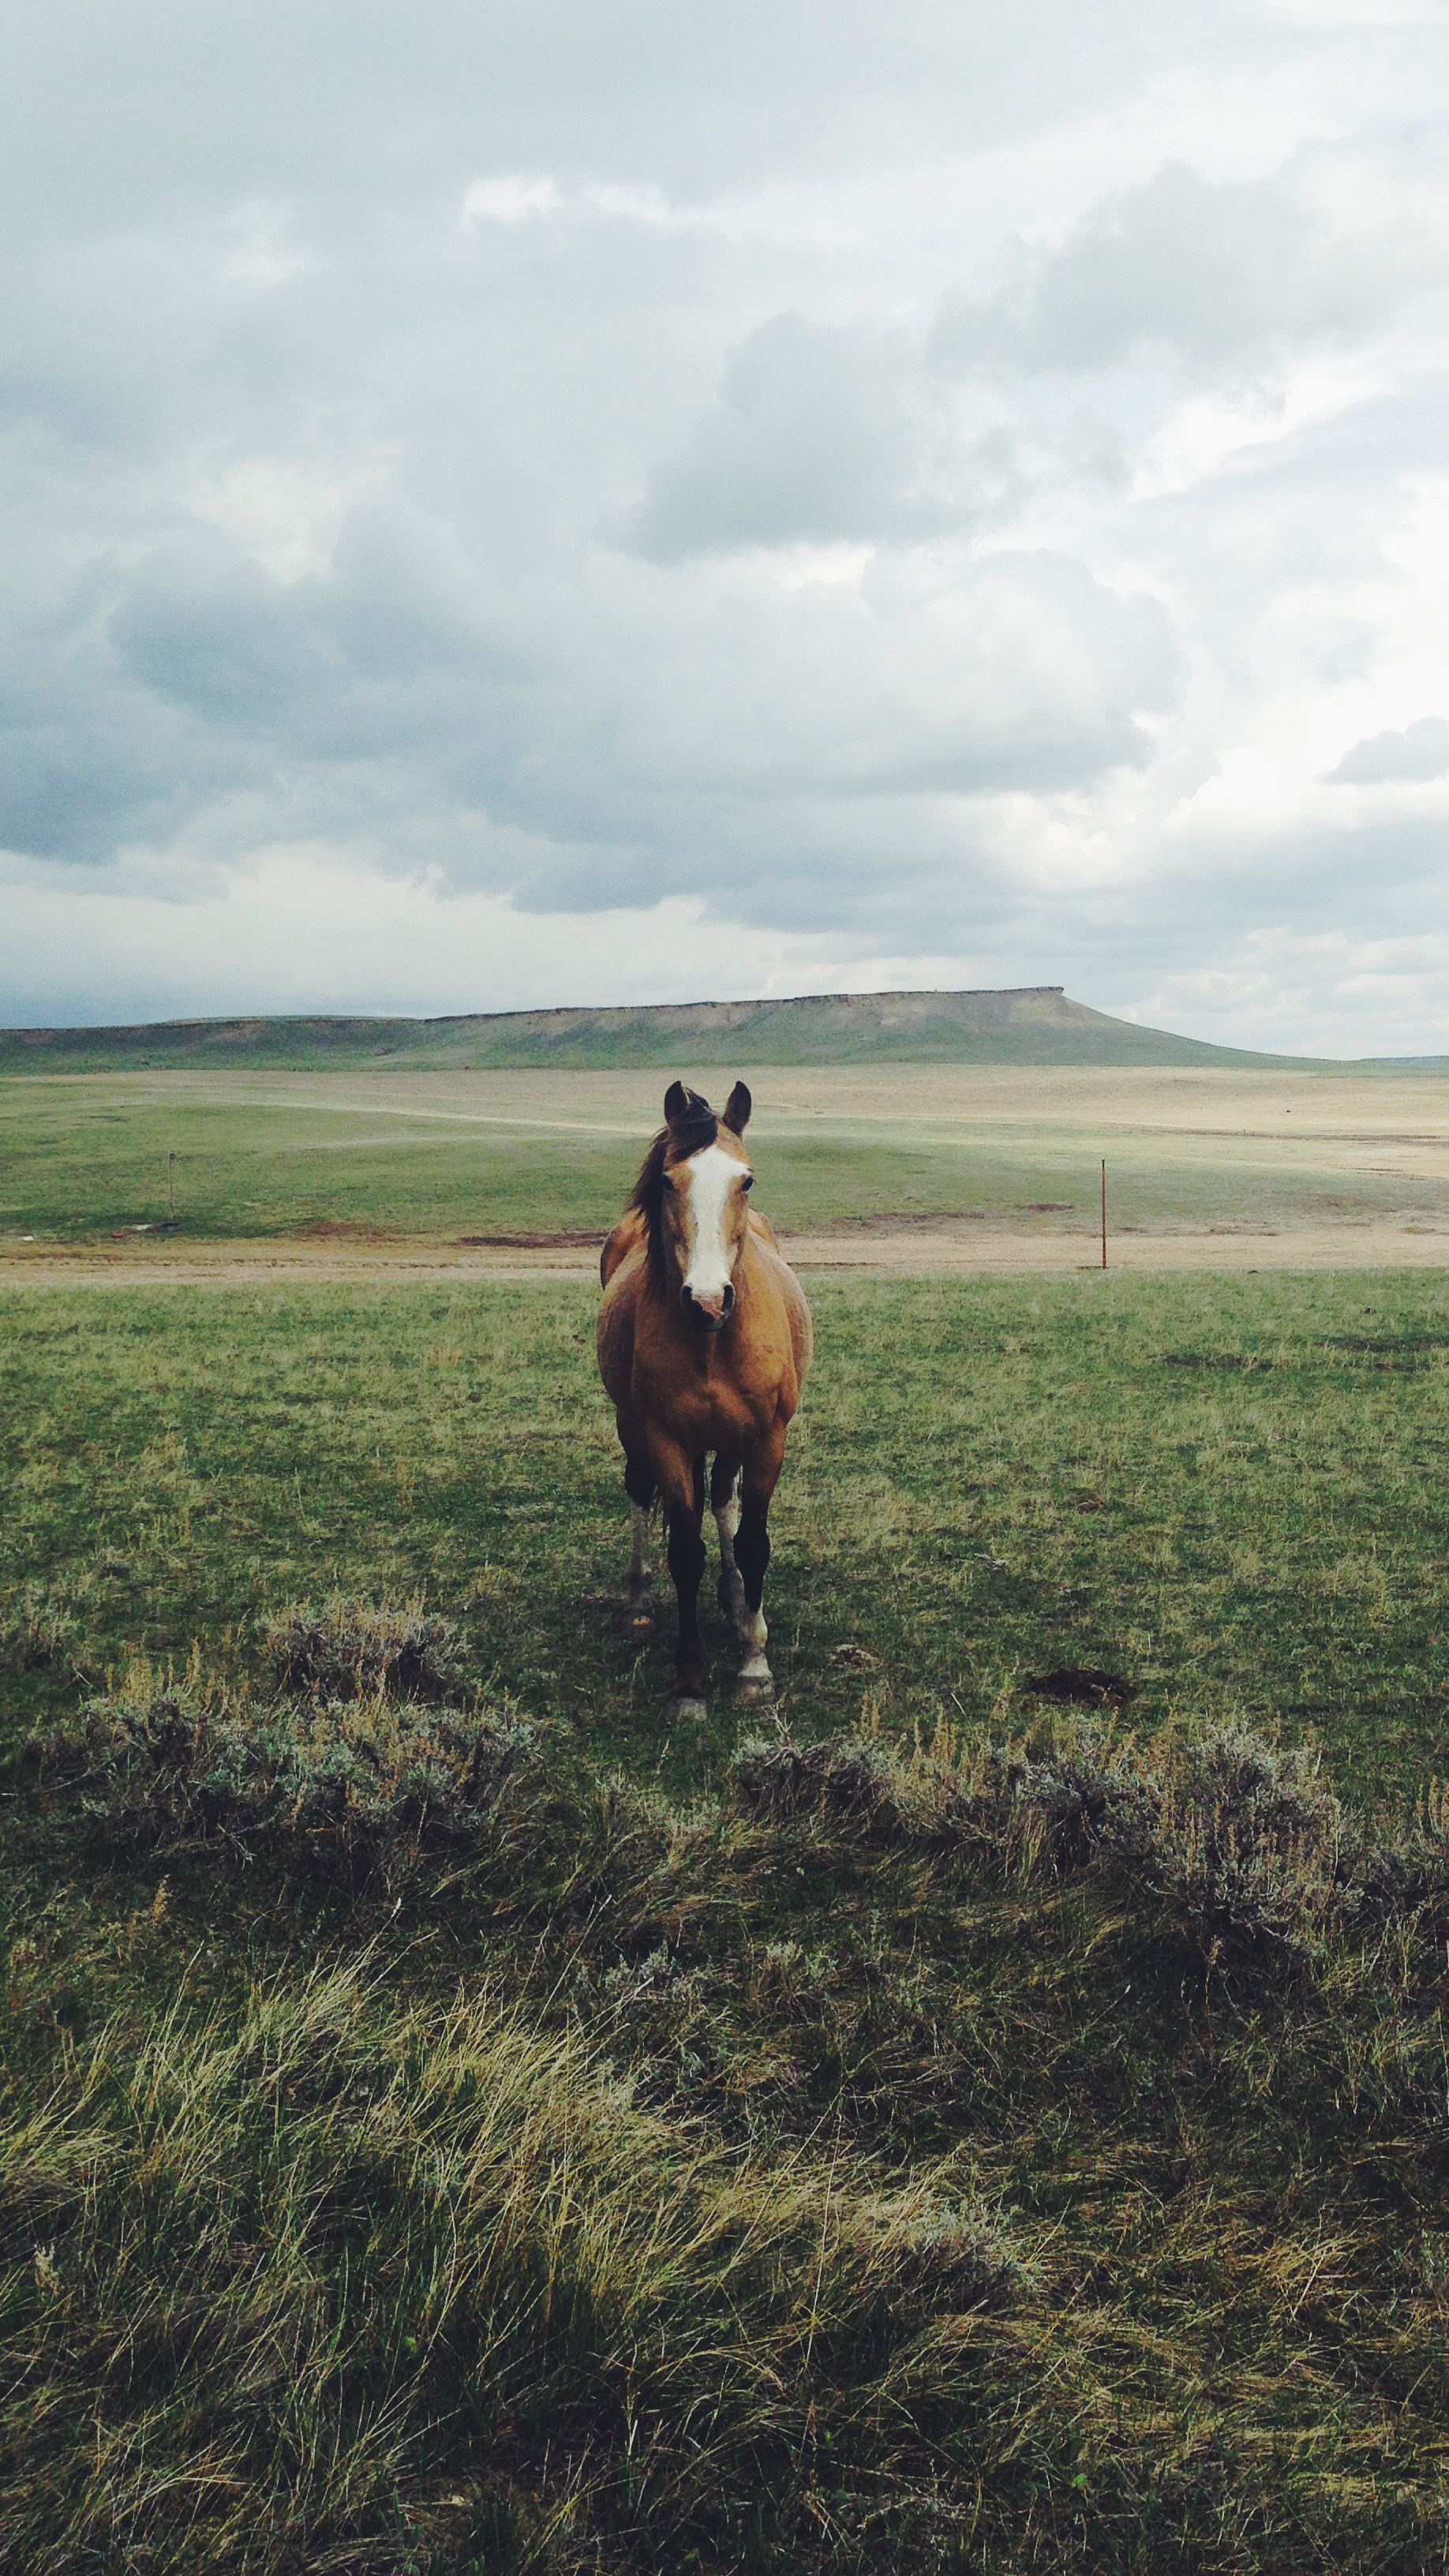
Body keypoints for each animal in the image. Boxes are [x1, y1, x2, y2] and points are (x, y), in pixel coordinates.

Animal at [597, 1079, 813, 1716]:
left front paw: (755, 1665)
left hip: (732, 1440)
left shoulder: (766, 1439)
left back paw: (738, 1603)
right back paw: (638, 1603)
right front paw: (689, 1683)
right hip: (633, 1428)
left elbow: (753, 1541)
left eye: (747, 1180)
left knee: (723, 1501)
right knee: (641, 1494)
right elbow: (685, 1552)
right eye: (669, 1181)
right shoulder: (668, 1438)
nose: (708, 1300)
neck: (713, 1341)